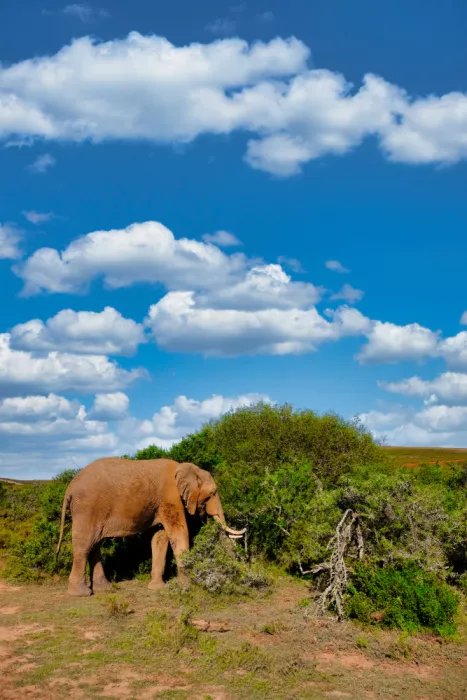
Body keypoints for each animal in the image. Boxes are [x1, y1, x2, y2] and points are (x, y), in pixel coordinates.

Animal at [56, 457, 245, 597]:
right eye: (213, 493)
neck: (186, 468)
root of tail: (69, 489)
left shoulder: (161, 504)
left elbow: (159, 537)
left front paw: (157, 588)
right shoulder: (171, 497)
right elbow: (179, 532)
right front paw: (187, 587)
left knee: (95, 544)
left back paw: (104, 589)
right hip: (87, 508)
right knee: (85, 545)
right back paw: (81, 594)